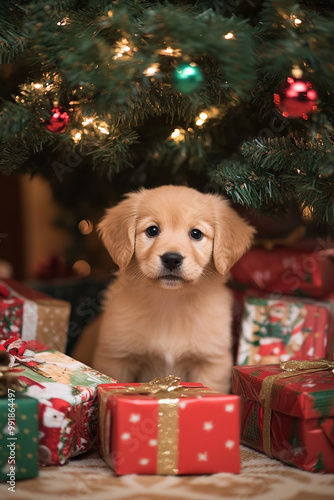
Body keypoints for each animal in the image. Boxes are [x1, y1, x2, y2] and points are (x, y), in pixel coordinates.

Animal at [75, 186, 254, 392]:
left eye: (196, 233)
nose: (171, 259)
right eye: (152, 230)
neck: (170, 301)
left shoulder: (211, 361)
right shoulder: (117, 358)